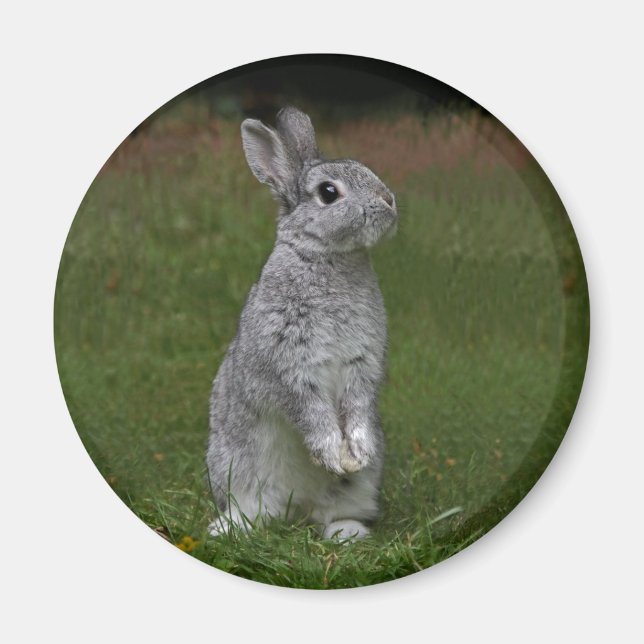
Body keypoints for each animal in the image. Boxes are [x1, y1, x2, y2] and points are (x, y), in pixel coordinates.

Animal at [206, 106, 397, 541]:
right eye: (328, 192)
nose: (388, 201)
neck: (328, 256)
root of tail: (298, 507)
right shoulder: (290, 366)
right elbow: (310, 411)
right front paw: (331, 453)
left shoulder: (362, 365)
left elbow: (358, 405)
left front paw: (356, 453)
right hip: (235, 466)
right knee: (254, 509)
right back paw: (227, 529)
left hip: (359, 488)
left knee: (335, 511)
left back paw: (347, 533)